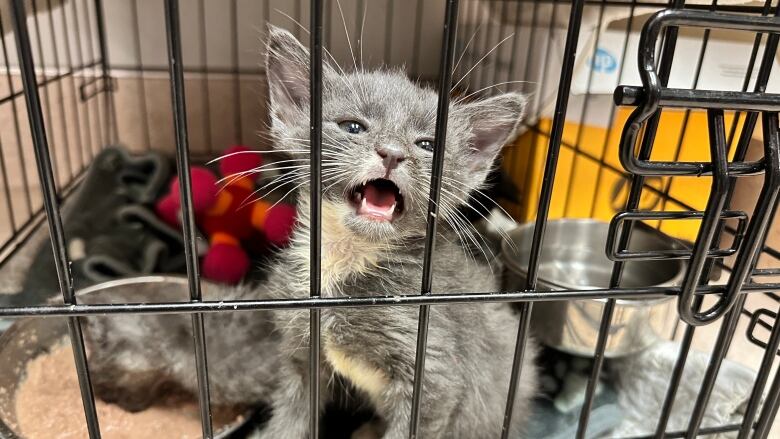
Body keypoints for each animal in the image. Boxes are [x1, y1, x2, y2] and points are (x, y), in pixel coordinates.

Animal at [84, 28, 536, 439]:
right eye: (353, 127)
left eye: (427, 145)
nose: (392, 153)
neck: (345, 263)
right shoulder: (301, 349)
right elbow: (293, 413)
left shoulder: (434, 375)